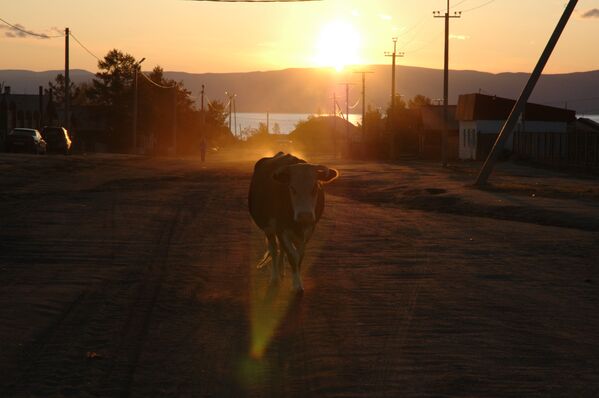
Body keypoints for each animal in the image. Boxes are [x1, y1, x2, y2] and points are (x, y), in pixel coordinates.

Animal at [248, 152, 340, 292]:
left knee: (281, 249)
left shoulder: (308, 229)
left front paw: (297, 280)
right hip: (268, 229)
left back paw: (281, 271)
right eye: (292, 187)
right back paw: (275, 277)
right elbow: (292, 256)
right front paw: (297, 285)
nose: (304, 215)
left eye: (315, 187)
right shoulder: (280, 228)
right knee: (274, 249)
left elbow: (299, 256)